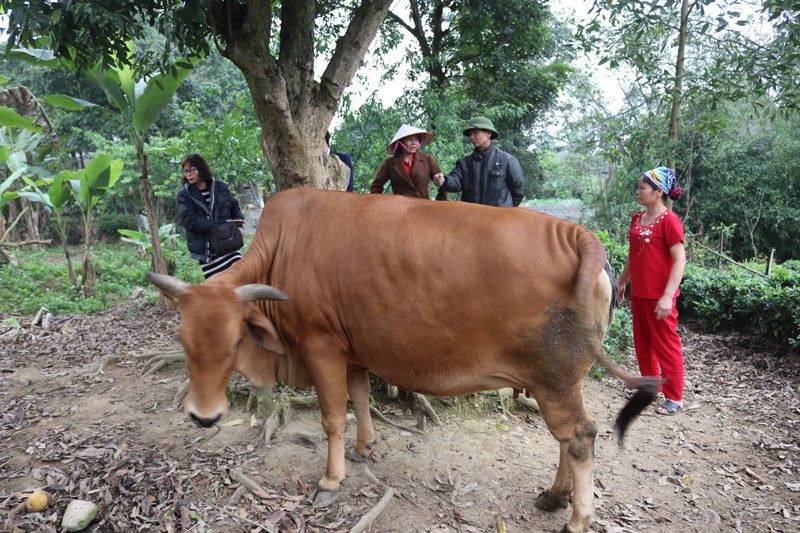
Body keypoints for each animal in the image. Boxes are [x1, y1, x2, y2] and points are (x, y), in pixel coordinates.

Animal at [150, 188, 656, 532]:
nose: (203, 416)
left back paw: (577, 516)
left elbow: (332, 416)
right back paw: (554, 496)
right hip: (559, 381)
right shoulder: (352, 349)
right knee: (567, 439)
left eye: (235, 341)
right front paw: (366, 446)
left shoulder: (320, 345)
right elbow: (358, 398)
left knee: (580, 437)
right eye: (183, 340)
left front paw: (331, 478)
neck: (283, 248)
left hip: (555, 379)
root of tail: (580, 236)